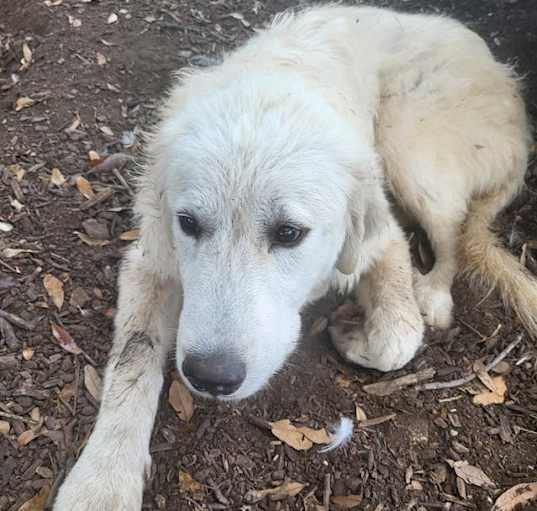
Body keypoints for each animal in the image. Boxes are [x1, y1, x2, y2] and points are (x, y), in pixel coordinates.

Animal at [53, 5, 532, 511]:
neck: (275, 86)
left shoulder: (383, 239)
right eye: (188, 223)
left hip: (411, 152)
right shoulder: (151, 261)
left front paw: (354, 334)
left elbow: (397, 339)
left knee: (453, 239)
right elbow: (133, 358)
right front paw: (101, 480)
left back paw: (434, 294)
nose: (211, 377)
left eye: (289, 234)